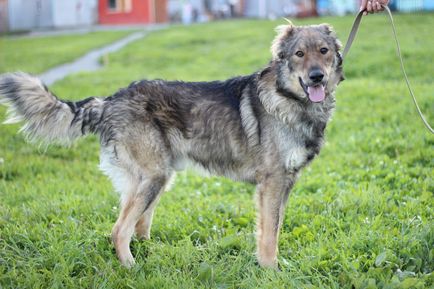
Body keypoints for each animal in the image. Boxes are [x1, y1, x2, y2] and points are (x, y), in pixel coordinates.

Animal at [0, 22, 346, 268]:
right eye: (299, 54)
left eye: (324, 51)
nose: (316, 77)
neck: (290, 100)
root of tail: (109, 101)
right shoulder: (272, 183)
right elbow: (270, 234)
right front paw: (271, 270)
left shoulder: (285, 183)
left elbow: (272, 228)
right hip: (154, 177)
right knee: (119, 230)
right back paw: (131, 268)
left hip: (154, 181)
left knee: (137, 226)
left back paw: (148, 253)